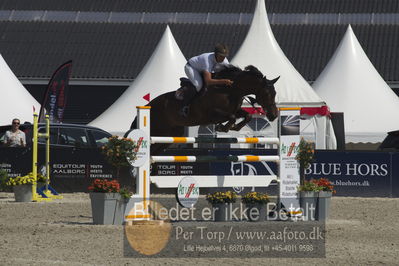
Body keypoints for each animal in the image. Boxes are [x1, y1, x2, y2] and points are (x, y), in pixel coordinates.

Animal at [126, 64, 280, 155]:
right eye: (267, 94)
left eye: (275, 93)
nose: (273, 115)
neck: (231, 90)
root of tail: (148, 105)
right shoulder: (211, 114)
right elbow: (231, 117)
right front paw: (222, 128)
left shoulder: (235, 110)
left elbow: (246, 116)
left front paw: (234, 128)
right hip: (157, 130)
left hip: (170, 135)